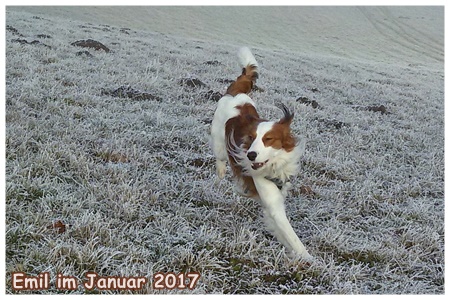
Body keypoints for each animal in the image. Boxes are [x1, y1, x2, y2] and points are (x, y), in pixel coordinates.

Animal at [211, 47, 312, 260]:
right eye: (251, 137)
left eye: (268, 139)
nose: (250, 155)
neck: (273, 166)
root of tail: (236, 93)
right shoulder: (273, 203)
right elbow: (292, 236)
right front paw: (310, 259)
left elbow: (283, 233)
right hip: (218, 143)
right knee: (220, 159)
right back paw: (220, 174)